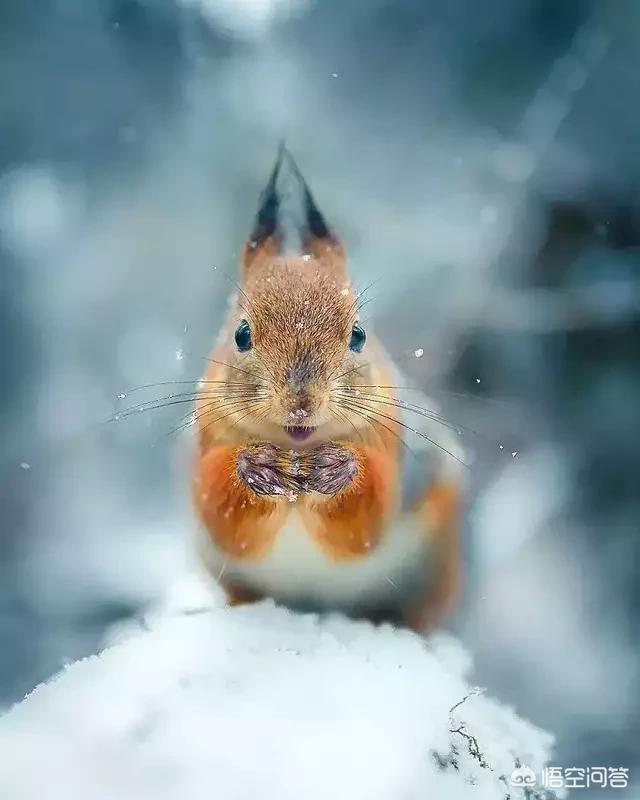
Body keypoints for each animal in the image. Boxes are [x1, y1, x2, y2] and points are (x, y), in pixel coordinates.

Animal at [192, 147, 462, 628]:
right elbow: (222, 516)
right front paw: (254, 466)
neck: (298, 447)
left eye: (358, 334)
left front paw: (339, 468)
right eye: (241, 334)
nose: (301, 401)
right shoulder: (206, 439)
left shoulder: (394, 439)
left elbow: (368, 521)